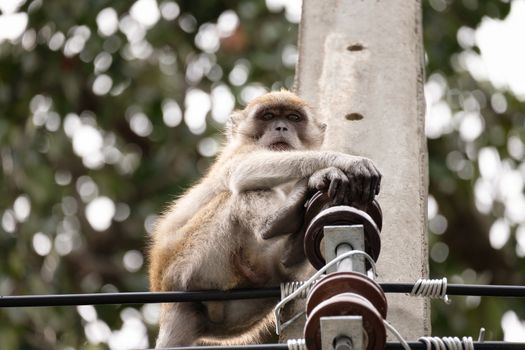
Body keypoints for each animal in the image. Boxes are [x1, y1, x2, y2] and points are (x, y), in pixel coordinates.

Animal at [147, 90, 380, 348]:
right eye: (268, 116)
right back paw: (281, 217)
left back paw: (290, 251)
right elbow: (242, 171)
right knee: (240, 195)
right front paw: (342, 161)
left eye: (293, 117)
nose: (281, 127)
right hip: (188, 263)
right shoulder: (240, 151)